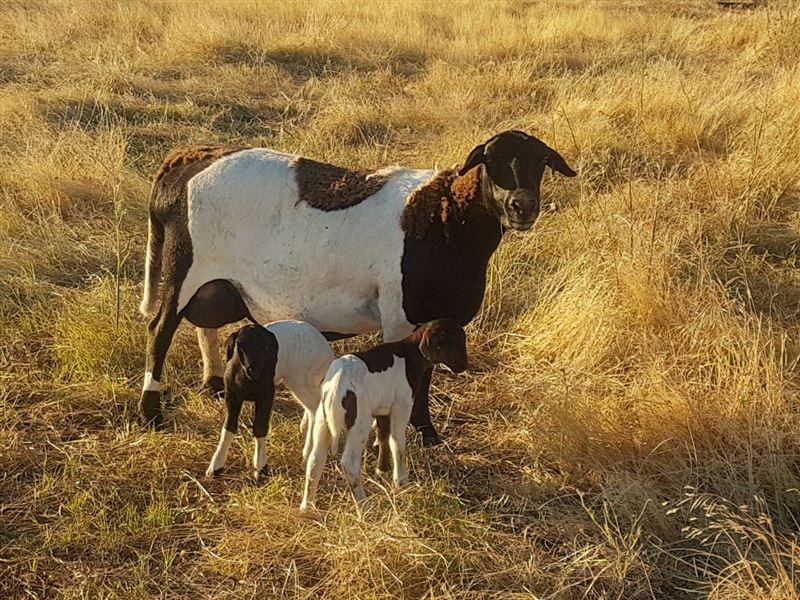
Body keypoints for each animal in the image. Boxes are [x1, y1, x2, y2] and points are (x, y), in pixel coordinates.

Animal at [139, 131, 576, 445]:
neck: (445, 217)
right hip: (182, 267)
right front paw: (417, 434)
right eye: (490, 160)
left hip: (214, 281)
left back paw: (212, 384)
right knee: (160, 332)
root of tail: (183, 162)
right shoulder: (402, 317)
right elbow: (417, 377)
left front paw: (426, 434)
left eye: (541, 163)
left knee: (204, 324)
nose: (522, 206)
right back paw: (150, 411)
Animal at [206, 320, 334, 479]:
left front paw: (261, 469)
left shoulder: (266, 395)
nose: (252, 369)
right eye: (239, 347)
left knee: (315, 408)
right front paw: (215, 467)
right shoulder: (232, 396)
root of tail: (326, 351)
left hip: (301, 380)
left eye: (266, 347)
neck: (249, 381)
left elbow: (260, 428)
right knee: (313, 409)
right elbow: (229, 427)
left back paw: (308, 455)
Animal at [300, 319, 467, 510]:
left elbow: (383, 436)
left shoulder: (382, 406)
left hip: (323, 418)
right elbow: (397, 441)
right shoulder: (401, 405)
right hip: (359, 420)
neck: (409, 356)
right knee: (349, 463)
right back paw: (363, 506)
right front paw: (401, 481)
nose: (463, 365)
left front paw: (382, 470)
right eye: (450, 343)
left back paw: (307, 506)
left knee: (315, 459)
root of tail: (338, 387)